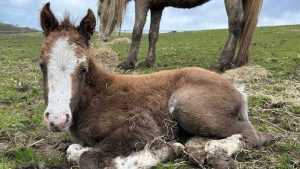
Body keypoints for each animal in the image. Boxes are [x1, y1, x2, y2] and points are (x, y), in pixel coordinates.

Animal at [98, 0, 262, 71]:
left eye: (99, 13)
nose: (103, 38)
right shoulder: (157, 7)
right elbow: (153, 34)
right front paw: (149, 62)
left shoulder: (142, 3)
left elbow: (137, 31)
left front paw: (128, 63)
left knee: (236, 22)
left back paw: (222, 63)